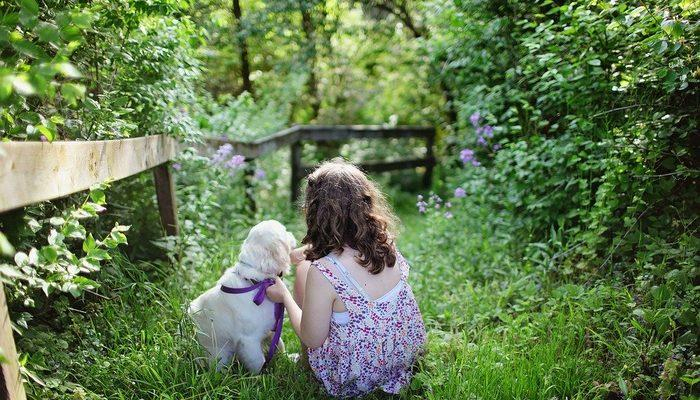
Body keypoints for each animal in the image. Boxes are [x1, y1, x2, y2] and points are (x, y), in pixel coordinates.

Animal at [187, 219, 294, 372]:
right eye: (285, 231)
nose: (292, 234)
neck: (257, 283)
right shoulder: (249, 340)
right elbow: (258, 362)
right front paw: (262, 376)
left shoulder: (272, 329)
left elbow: (280, 345)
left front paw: (288, 359)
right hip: (219, 354)